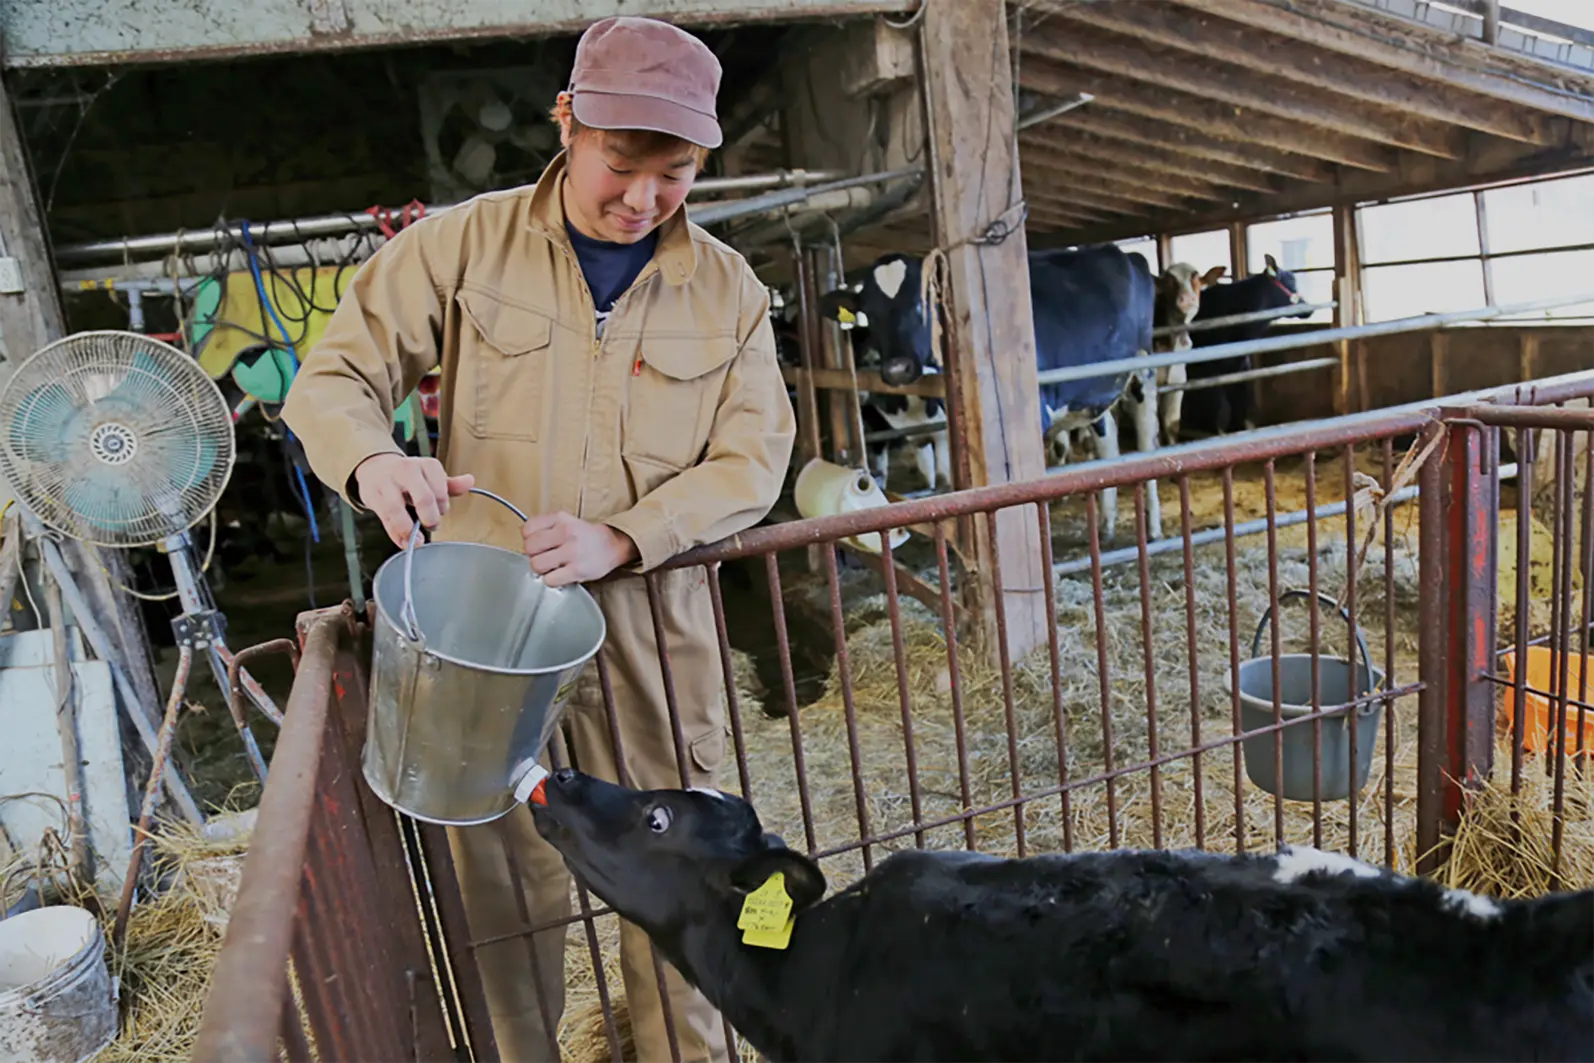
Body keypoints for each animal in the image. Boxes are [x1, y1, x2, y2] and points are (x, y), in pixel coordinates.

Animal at [816, 243, 1166, 541]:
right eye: (869, 314)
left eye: (923, 303)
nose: (896, 368)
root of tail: (1123, 252)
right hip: (1095, 388)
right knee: (1109, 442)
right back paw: (1107, 524)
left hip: (1144, 371)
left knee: (1147, 442)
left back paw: (1153, 528)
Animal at [1185, 254, 1307, 439]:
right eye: (1291, 280)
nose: (1307, 307)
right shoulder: (1206, 372)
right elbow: (1219, 407)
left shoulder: (1240, 368)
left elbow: (1240, 404)